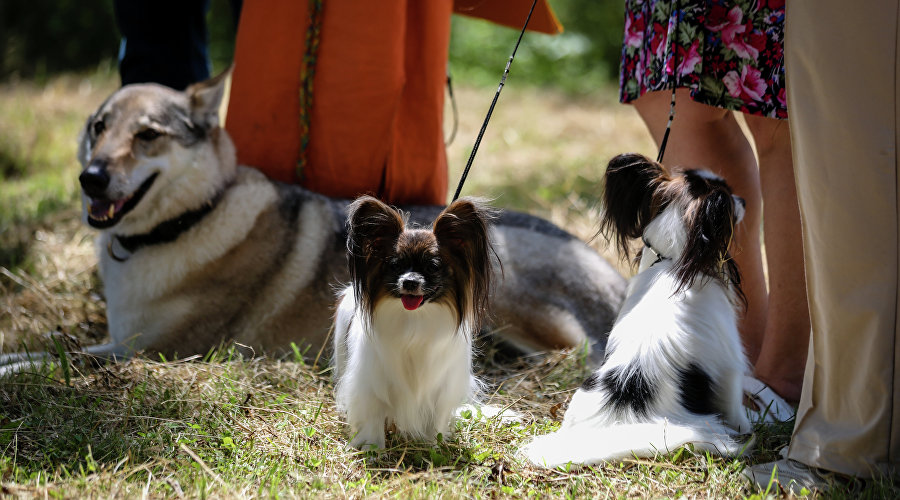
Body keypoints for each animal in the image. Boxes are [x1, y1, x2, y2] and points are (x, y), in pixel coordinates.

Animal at [0, 71, 624, 372]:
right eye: (98, 128)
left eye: (148, 134)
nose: (91, 178)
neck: (188, 222)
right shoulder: (119, 341)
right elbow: (42, 349)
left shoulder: (152, 353)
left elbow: (50, 361)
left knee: (570, 352)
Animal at [334, 195, 496, 450]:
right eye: (395, 265)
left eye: (433, 266)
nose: (410, 282)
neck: (415, 320)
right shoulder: (370, 383)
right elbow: (372, 417)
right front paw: (373, 448)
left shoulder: (440, 389)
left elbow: (435, 422)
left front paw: (432, 446)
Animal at [524, 154, 756, 466]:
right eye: (730, 197)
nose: (744, 199)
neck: (673, 259)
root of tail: (621, 419)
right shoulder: (730, 361)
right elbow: (734, 403)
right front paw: (747, 426)